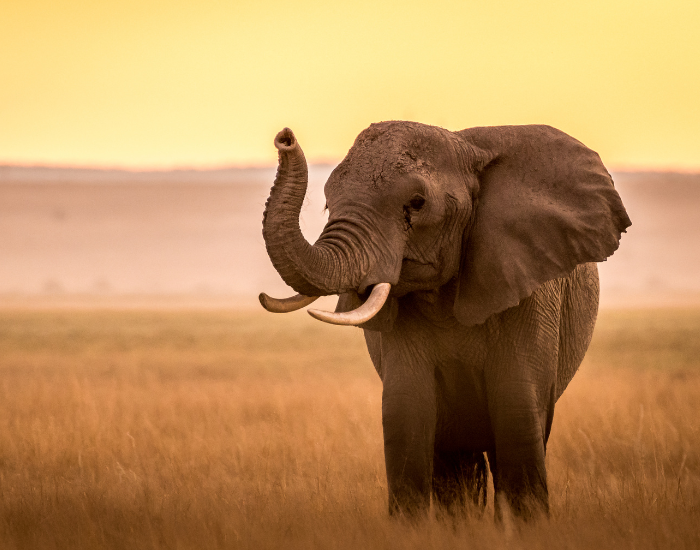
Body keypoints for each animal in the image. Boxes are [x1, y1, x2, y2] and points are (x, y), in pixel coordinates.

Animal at [259, 121, 630, 519]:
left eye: (417, 203)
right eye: (328, 203)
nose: (285, 137)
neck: (468, 148)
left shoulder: (531, 287)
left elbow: (516, 409)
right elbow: (406, 409)